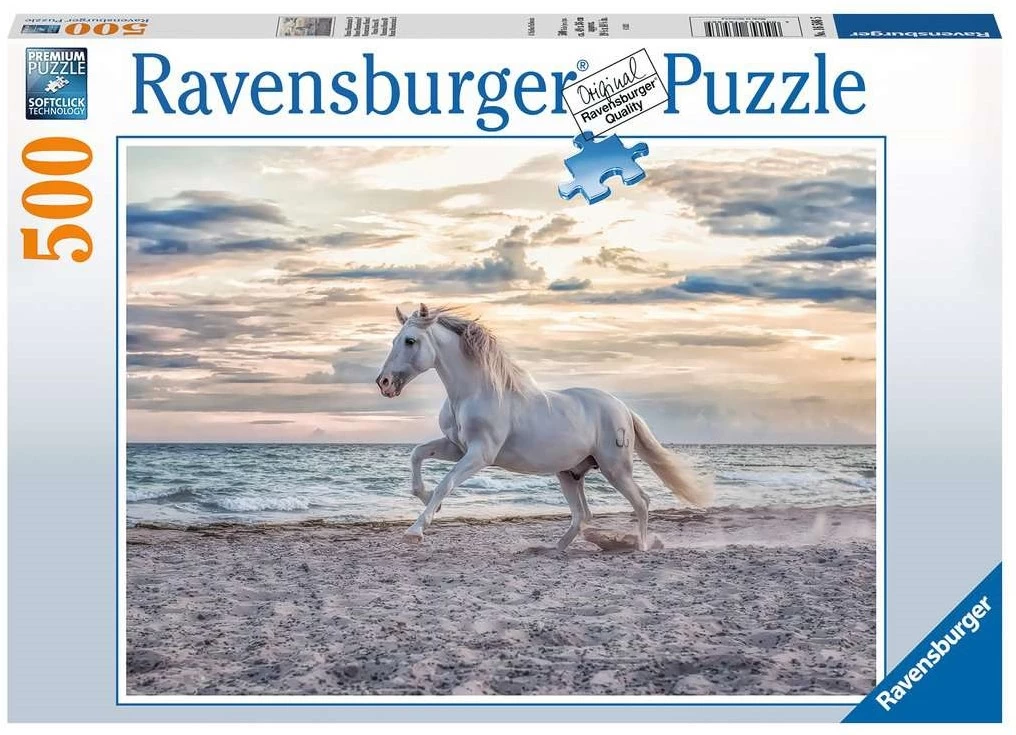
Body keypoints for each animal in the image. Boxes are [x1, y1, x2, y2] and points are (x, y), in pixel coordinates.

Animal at [375, 303, 712, 550]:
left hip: (615, 469)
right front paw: (428, 501)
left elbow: (446, 483)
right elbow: (417, 455)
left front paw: (416, 530)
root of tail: (623, 408)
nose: (384, 383)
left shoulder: (480, 454)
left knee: (641, 502)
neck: (474, 392)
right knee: (583, 515)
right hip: (569, 473)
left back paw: (640, 547)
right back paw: (554, 548)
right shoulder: (457, 447)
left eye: (410, 341)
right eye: (393, 340)